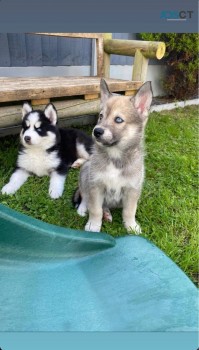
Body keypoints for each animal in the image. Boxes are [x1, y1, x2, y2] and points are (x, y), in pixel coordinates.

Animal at [74, 78, 153, 234]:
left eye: (118, 120)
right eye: (101, 116)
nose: (96, 131)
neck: (115, 157)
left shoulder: (132, 189)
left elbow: (129, 211)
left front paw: (131, 226)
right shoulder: (96, 186)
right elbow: (95, 209)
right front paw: (93, 225)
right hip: (85, 172)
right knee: (84, 195)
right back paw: (84, 209)